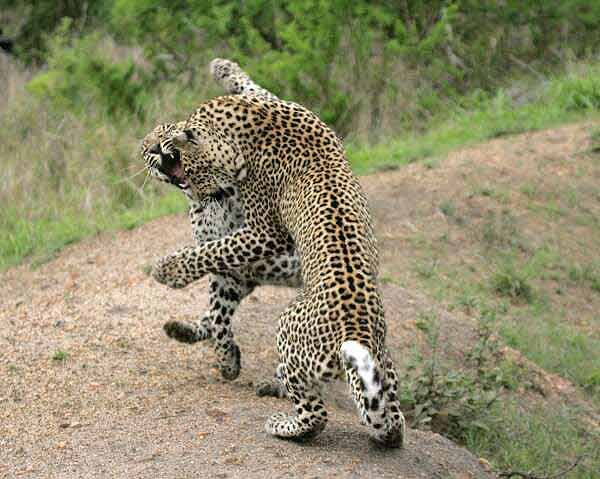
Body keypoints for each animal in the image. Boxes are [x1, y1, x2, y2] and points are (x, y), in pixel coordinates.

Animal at [140, 62, 300, 384]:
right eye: (143, 150)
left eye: (165, 130)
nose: (152, 149)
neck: (219, 198)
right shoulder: (231, 275)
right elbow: (217, 315)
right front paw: (228, 361)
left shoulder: (262, 241)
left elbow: (216, 252)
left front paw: (168, 270)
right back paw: (184, 330)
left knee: (256, 90)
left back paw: (224, 67)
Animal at [147, 85, 406, 446]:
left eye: (194, 169)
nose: (197, 192)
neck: (265, 123)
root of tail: (355, 332)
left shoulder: (265, 235)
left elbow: (213, 252)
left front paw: (167, 269)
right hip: (382, 366)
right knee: (387, 418)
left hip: (287, 328)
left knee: (315, 415)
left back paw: (280, 420)